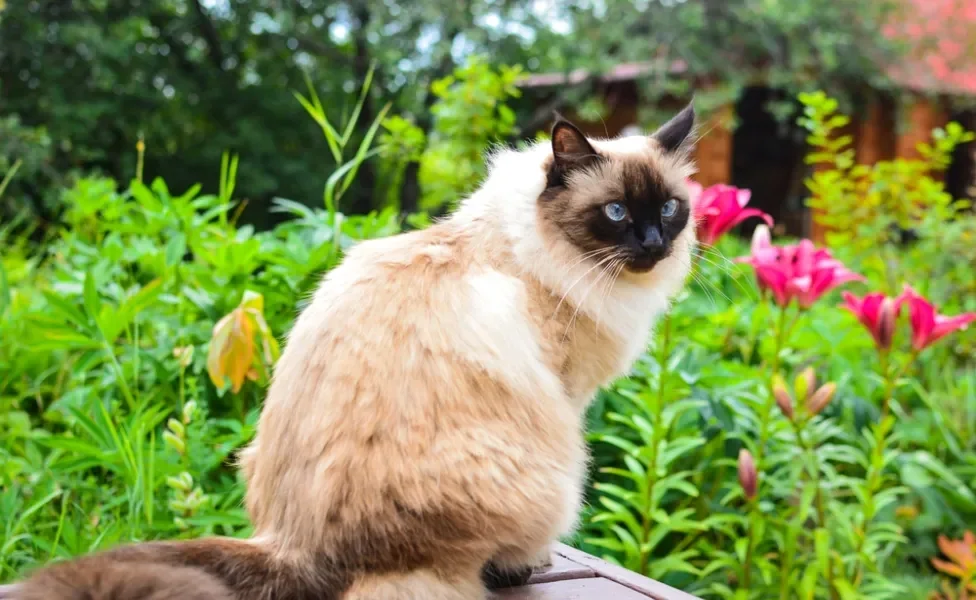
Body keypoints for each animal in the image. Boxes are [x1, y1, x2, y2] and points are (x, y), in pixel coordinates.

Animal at [1, 101, 700, 596]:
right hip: (555, 469)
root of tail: (293, 547)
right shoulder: (567, 392)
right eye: (615, 213)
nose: (652, 244)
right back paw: (514, 567)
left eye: (669, 208)